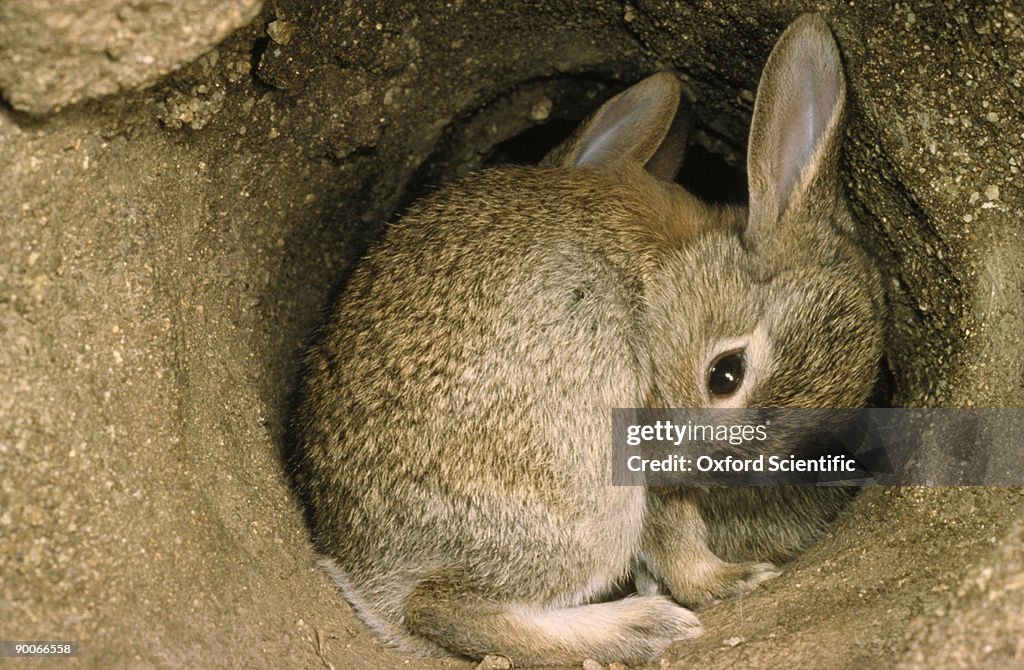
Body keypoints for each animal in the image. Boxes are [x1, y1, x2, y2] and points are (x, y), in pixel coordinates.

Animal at [292, 12, 885, 668]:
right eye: (725, 374)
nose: (683, 471)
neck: (671, 270)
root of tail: (367, 578)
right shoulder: (640, 417)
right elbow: (671, 533)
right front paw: (728, 582)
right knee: (440, 607)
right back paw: (646, 626)